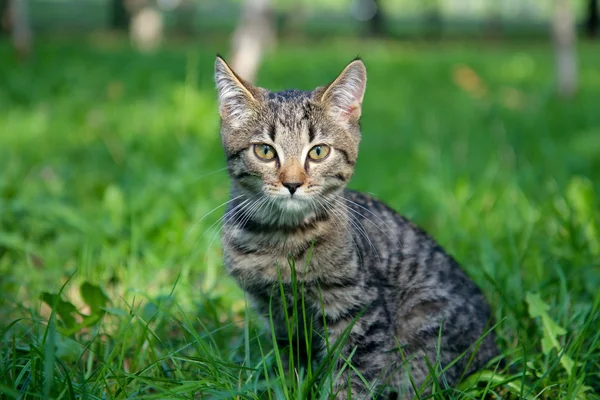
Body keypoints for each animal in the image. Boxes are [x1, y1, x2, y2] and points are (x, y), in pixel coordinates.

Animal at [213, 57, 500, 400]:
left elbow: (352, 374)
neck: (282, 242)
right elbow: (291, 363)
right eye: (265, 151)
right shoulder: (276, 313)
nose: (293, 184)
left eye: (318, 151)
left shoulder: (360, 310)